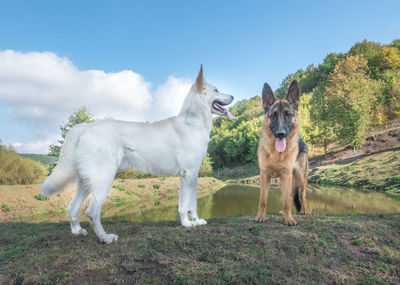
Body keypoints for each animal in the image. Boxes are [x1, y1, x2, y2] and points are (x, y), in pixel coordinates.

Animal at [40, 65, 234, 243]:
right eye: (216, 90)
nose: (233, 97)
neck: (193, 121)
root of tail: (87, 126)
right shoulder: (190, 174)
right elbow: (188, 203)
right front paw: (187, 224)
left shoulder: (188, 176)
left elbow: (188, 203)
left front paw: (196, 221)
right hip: (104, 179)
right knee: (91, 211)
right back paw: (106, 238)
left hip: (86, 182)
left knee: (72, 209)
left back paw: (78, 232)